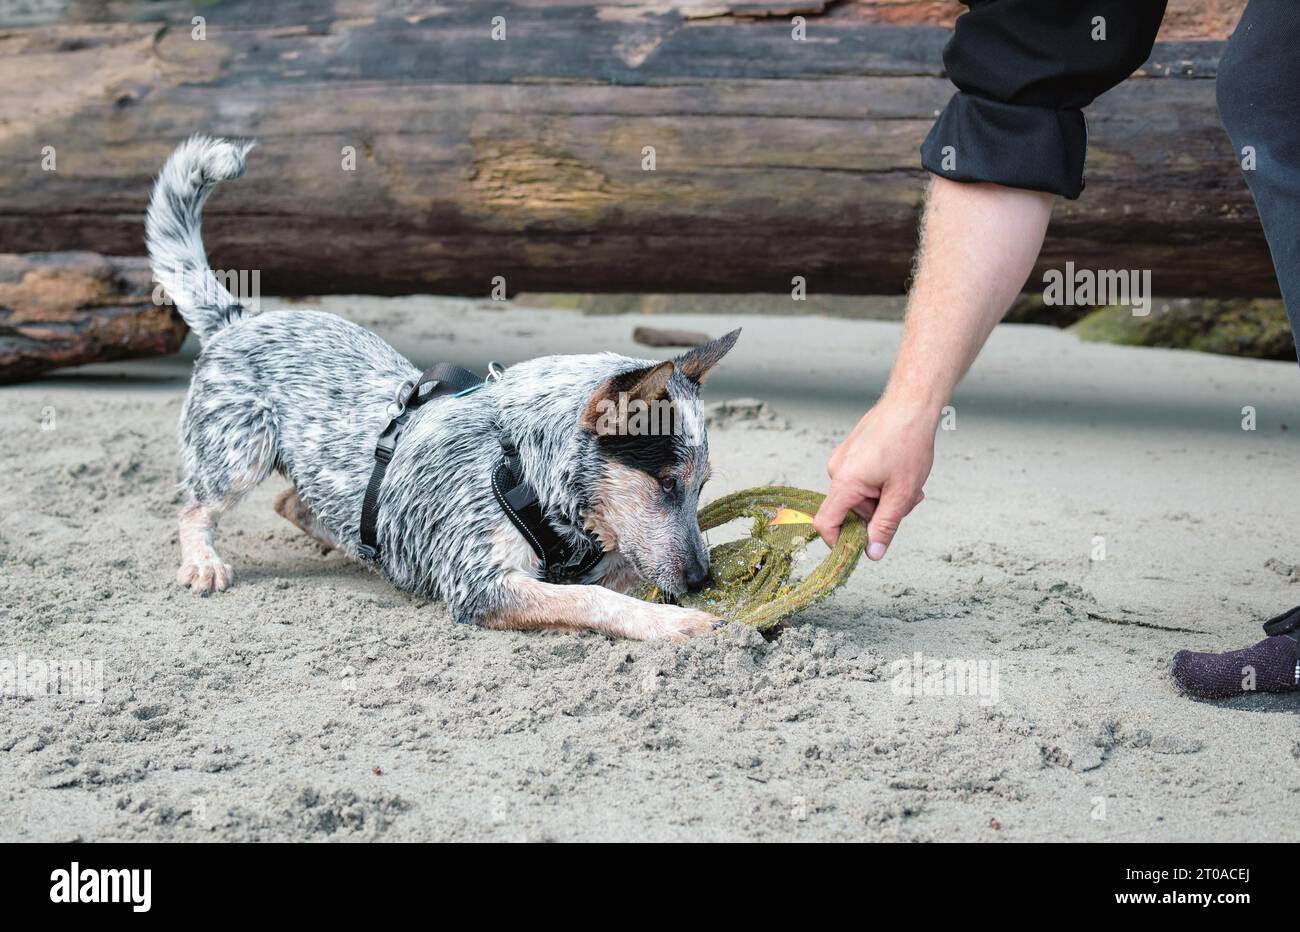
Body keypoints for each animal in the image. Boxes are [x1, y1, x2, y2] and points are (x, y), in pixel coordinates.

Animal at [146, 136, 738, 639]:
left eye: (702, 487)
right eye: (667, 485)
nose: (703, 580)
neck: (520, 462)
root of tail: (237, 317)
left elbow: (621, 578)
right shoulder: (482, 584)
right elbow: (598, 601)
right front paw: (678, 622)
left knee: (295, 502)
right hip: (237, 453)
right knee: (195, 507)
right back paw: (204, 563)